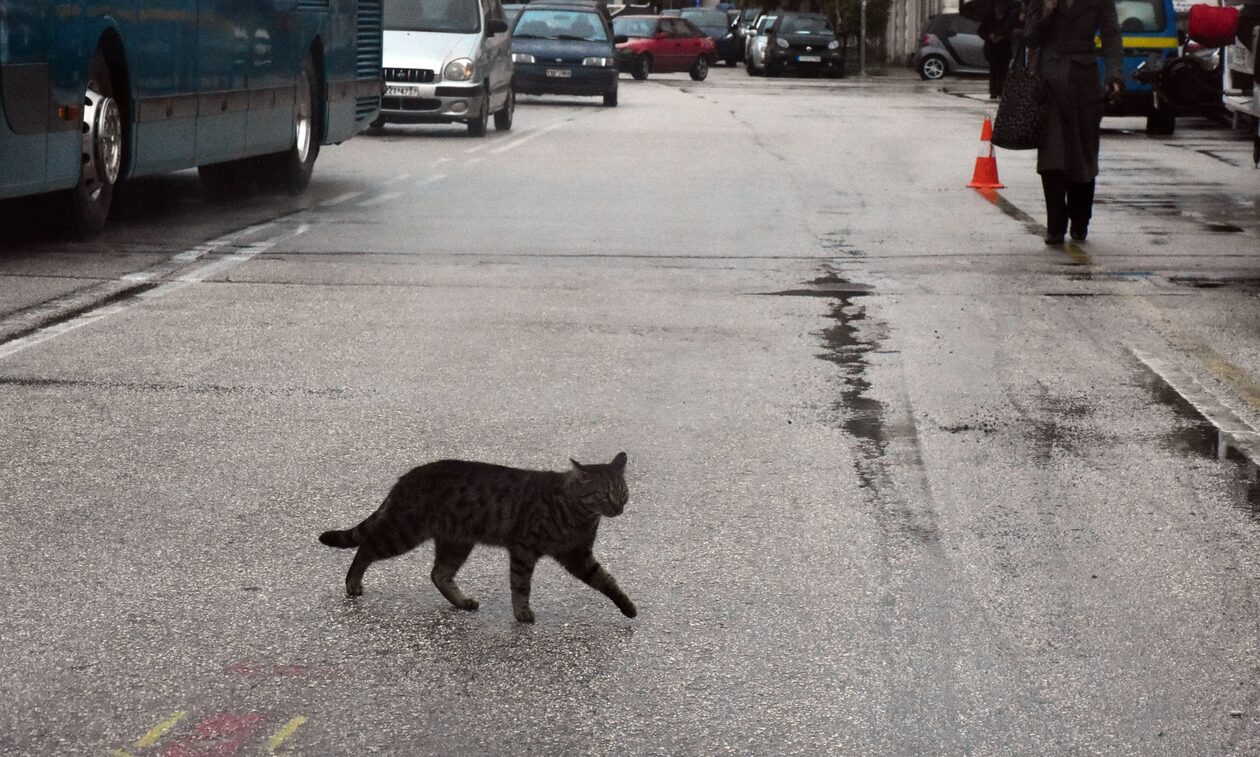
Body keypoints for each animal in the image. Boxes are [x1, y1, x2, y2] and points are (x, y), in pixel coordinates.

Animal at [320, 453, 635, 619]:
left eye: (622, 492)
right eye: (602, 493)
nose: (618, 507)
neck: (579, 516)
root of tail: (407, 476)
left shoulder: (578, 555)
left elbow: (606, 580)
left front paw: (627, 606)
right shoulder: (524, 550)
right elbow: (521, 586)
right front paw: (522, 613)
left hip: (457, 542)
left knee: (439, 573)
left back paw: (462, 602)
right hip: (403, 532)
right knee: (367, 547)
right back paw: (353, 583)